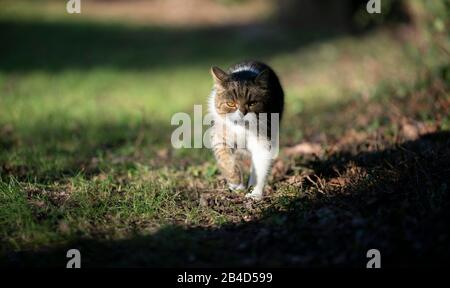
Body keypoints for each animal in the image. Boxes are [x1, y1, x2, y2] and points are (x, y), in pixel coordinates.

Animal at [208, 60, 284, 200]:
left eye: (252, 103)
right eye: (231, 104)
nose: (242, 113)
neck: (241, 128)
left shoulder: (263, 142)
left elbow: (260, 167)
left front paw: (255, 194)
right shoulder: (220, 138)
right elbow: (225, 159)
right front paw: (236, 182)